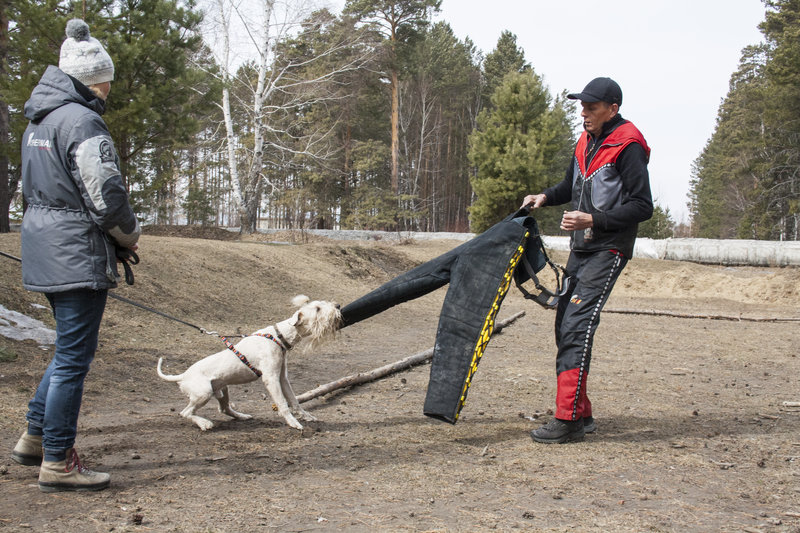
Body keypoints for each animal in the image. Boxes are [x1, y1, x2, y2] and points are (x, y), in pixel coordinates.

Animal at [156, 294, 340, 430]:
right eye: (317, 309)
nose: (338, 306)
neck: (278, 336)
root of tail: (182, 376)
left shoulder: (282, 377)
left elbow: (294, 400)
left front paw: (307, 417)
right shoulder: (271, 378)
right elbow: (282, 403)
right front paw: (294, 423)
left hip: (222, 389)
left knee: (224, 408)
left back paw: (242, 416)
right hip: (203, 393)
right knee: (185, 412)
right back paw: (204, 423)